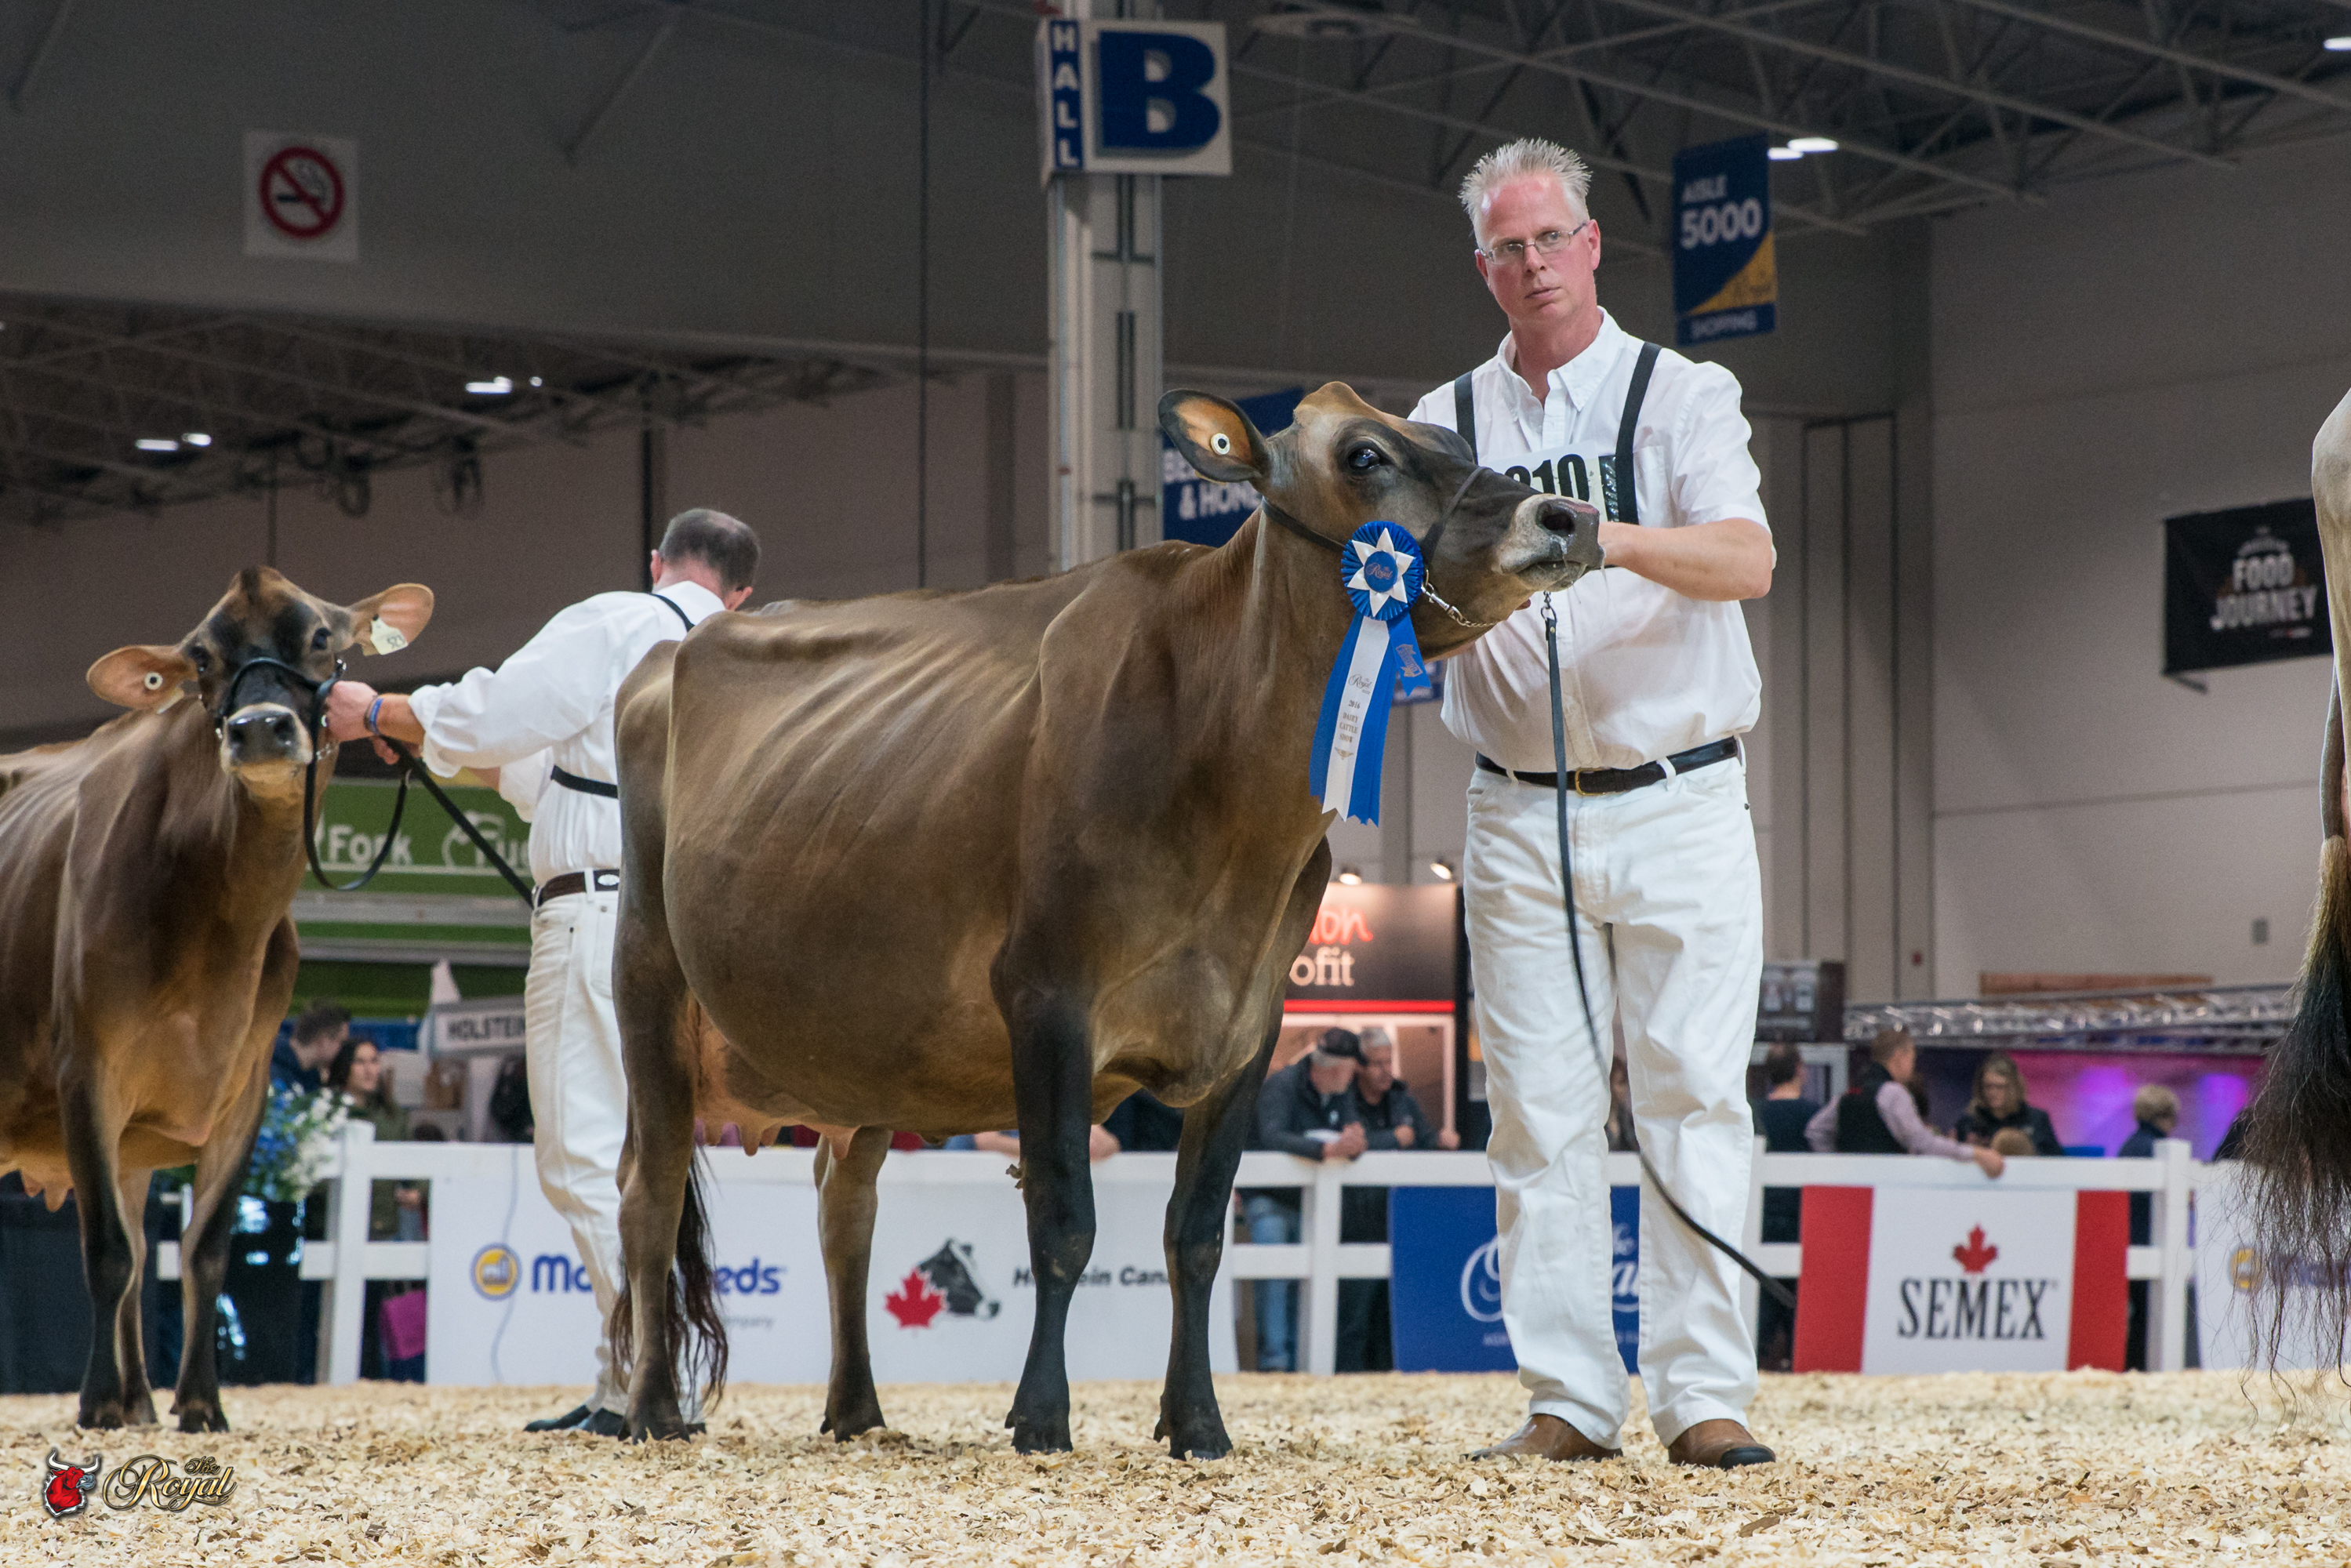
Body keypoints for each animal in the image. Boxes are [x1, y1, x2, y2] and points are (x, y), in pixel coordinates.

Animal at [0, 568, 432, 1431]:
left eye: (322, 638)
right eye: (201, 658)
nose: (259, 728)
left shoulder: (247, 1088)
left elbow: (201, 1249)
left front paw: (199, 1401)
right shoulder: (86, 1069)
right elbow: (106, 1251)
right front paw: (94, 1401)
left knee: (145, 1244)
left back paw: (140, 1396)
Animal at [607, 383, 1600, 1455]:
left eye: (1455, 438)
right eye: (1366, 454)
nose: (1567, 515)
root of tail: (670, 654)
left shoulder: (1250, 1022)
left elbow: (1196, 1233)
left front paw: (1196, 1420)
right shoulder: (1046, 995)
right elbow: (1063, 1222)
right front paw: (1042, 1415)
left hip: (860, 1052)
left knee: (845, 1207)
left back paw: (857, 1409)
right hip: (647, 982)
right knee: (650, 1193)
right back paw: (651, 1408)